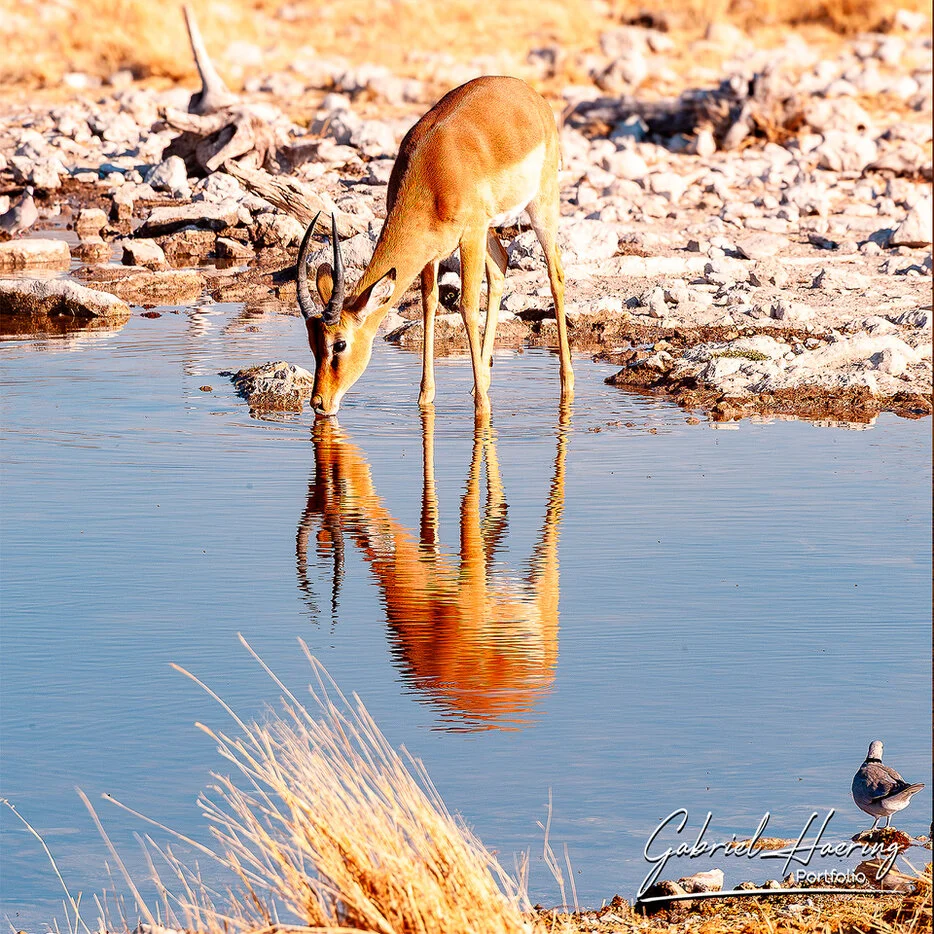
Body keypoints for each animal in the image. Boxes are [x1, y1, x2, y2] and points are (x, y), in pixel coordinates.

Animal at [296, 76, 573, 417]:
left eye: (340, 344)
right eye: (312, 344)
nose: (319, 403)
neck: (432, 173)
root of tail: (528, 92)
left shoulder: (470, 235)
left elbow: (467, 306)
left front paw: (482, 408)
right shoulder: (431, 252)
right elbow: (429, 304)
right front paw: (425, 399)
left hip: (539, 206)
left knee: (555, 273)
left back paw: (565, 384)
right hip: (489, 229)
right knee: (501, 264)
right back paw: (481, 381)